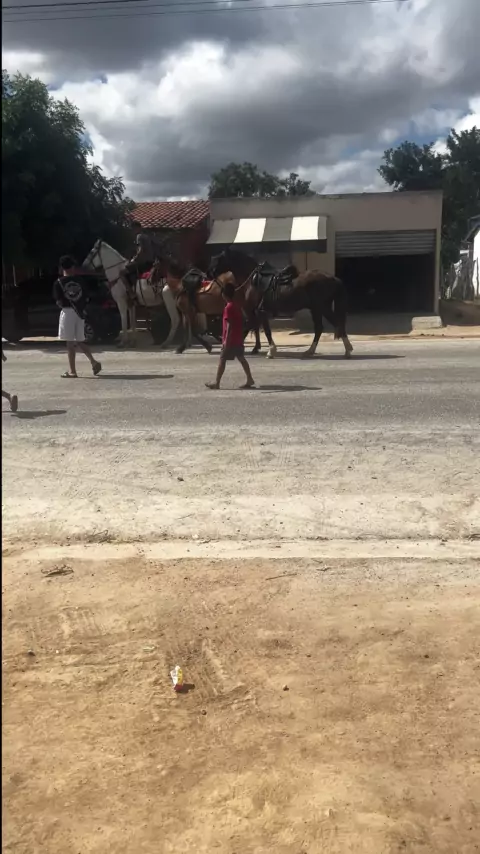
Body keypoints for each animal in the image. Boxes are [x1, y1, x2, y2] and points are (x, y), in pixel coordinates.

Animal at [209, 247, 354, 359]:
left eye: (218, 259)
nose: (208, 273)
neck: (253, 280)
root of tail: (333, 278)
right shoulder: (257, 312)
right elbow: (254, 328)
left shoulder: (259, 311)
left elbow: (262, 330)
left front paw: (270, 351)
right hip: (316, 309)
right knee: (321, 328)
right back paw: (311, 351)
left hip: (322, 307)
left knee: (335, 324)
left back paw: (347, 350)